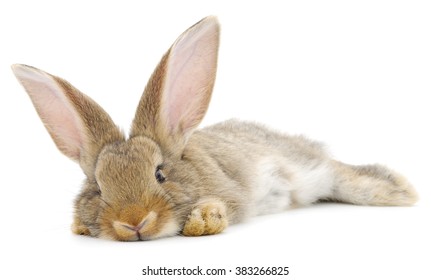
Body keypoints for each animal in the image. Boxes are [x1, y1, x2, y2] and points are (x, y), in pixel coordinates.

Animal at [12, 17, 418, 241]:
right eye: (97, 187)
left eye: (160, 174)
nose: (134, 223)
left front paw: (203, 221)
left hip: (308, 169)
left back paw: (399, 191)